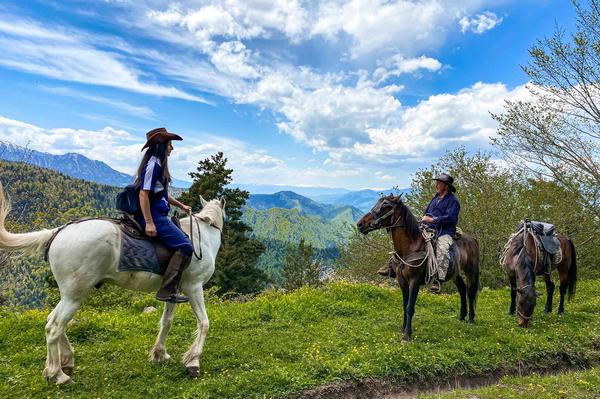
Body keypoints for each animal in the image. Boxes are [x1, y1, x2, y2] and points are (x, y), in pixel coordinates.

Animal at [0, 184, 224, 384]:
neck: (201, 237)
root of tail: (59, 232)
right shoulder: (194, 287)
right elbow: (204, 323)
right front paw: (193, 362)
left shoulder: (173, 290)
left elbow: (166, 322)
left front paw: (160, 355)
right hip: (75, 295)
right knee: (54, 327)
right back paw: (58, 375)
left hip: (69, 295)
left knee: (52, 321)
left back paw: (63, 363)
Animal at [358, 195, 480, 342]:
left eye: (385, 206)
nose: (360, 224)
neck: (410, 247)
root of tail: (472, 239)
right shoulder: (402, 281)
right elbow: (404, 305)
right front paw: (403, 328)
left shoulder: (414, 281)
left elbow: (410, 307)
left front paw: (407, 336)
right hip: (454, 273)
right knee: (462, 289)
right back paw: (461, 316)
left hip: (471, 271)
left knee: (471, 291)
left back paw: (471, 319)